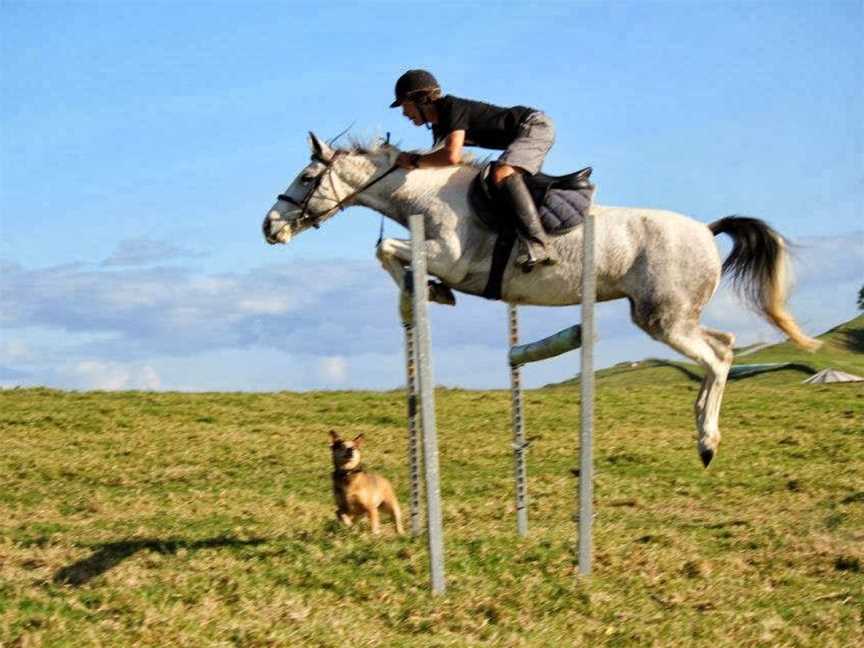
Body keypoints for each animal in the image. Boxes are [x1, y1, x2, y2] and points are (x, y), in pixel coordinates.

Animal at [262, 133, 816, 466]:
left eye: (306, 178)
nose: (269, 227)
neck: (428, 195)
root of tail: (705, 229)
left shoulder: (452, 257)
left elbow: (388, 249)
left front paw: (430, 291)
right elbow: (389, 254)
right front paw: (423, 292)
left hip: (665, 319)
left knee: (718, 355)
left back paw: (707, 439)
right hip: (666, 317)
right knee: (723, 344)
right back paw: (701, 428)